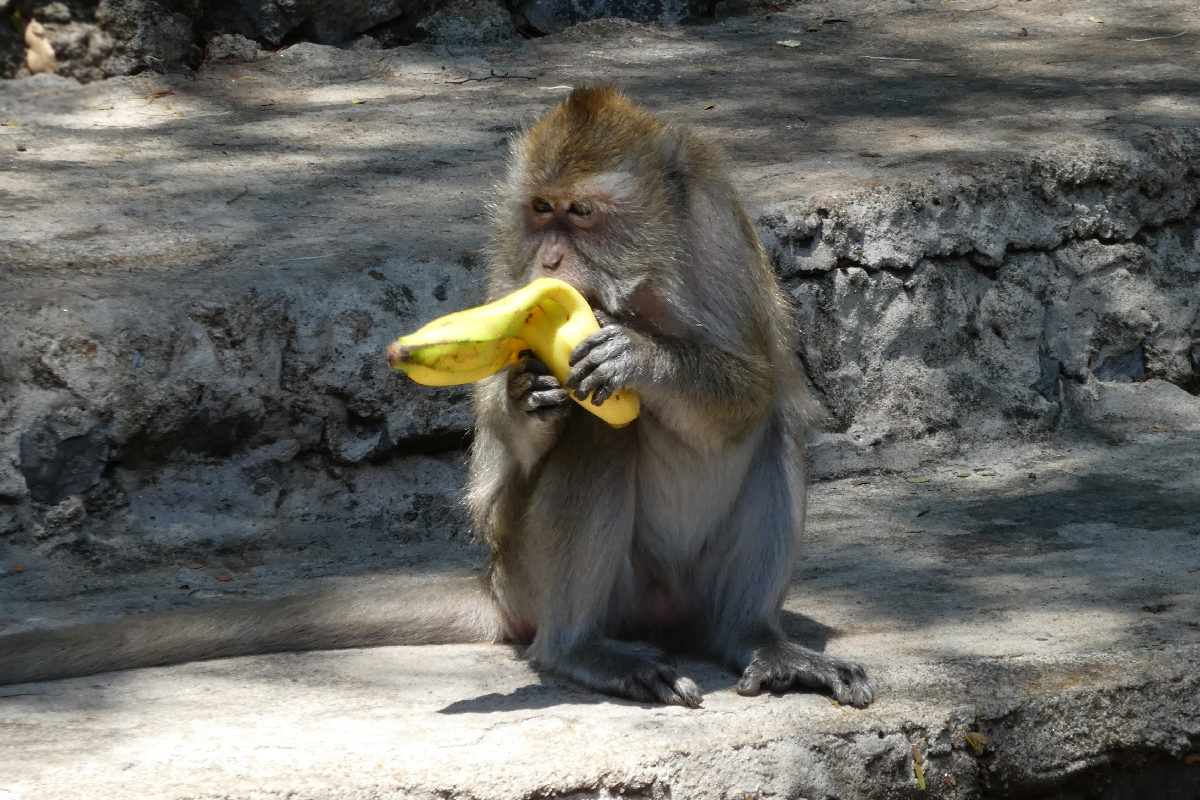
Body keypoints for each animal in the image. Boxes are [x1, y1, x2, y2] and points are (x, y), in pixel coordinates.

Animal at [0, 87, 873, 710]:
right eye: (540, 211)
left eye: (582, 213)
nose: (551, 258)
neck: (645, 283)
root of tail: (499, 590)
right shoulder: (508, 268)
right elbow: (500, 460)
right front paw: (527, 395)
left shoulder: (719, 233)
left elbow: (753, 388)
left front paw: (643, 359)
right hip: (534, 573)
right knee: (599, 440)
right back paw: (580, 650)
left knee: (774, 431)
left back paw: (753, 639)